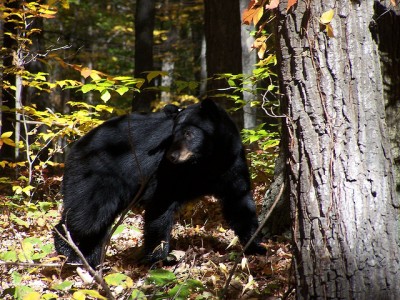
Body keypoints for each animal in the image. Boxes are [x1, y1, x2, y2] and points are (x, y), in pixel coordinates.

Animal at [54, 99, 266, 268]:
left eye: (188, 133)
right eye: (174, 133)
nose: (172, 156)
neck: (206, 163)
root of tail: (76, 146)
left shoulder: (232, 163)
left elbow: (239, 202)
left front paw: (256, 246)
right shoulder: (168, 173)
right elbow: (161, 204)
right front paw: (157, 257)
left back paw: (90, 259)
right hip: (96, 178)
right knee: (88, 216)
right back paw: (68, 251)